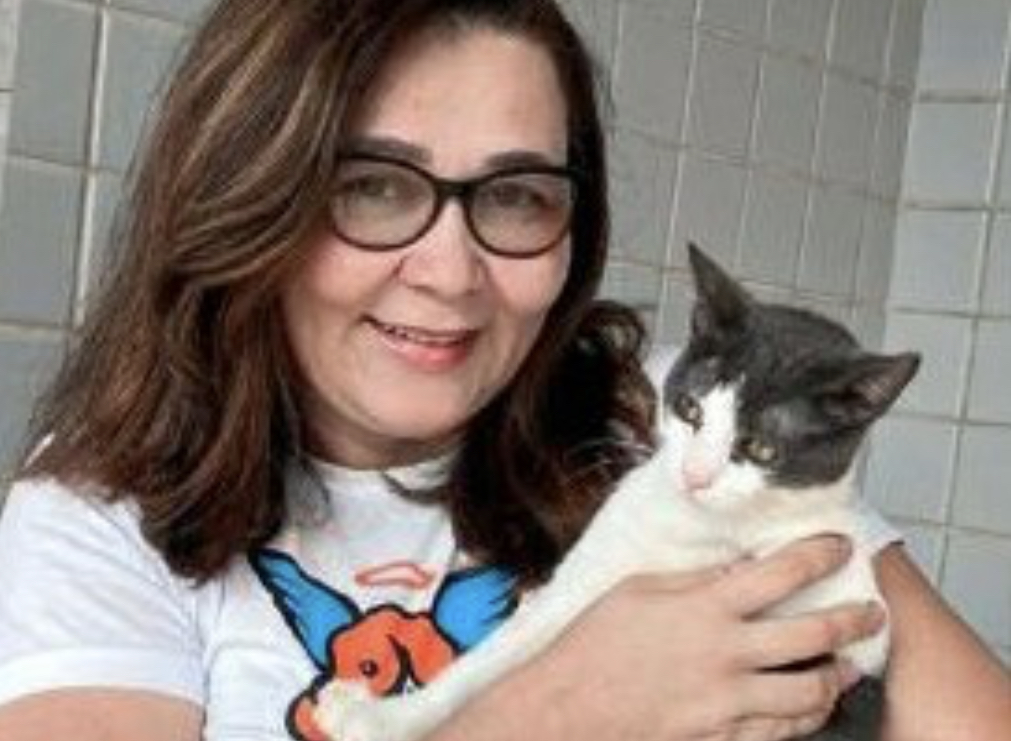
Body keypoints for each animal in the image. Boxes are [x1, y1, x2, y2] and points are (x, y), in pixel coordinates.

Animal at [311, 243, 920, 741]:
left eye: (761, 449)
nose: (694, 475)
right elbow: (495, 657)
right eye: (690, 409)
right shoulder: (590, 574)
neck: (697, 524)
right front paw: (382, 718)